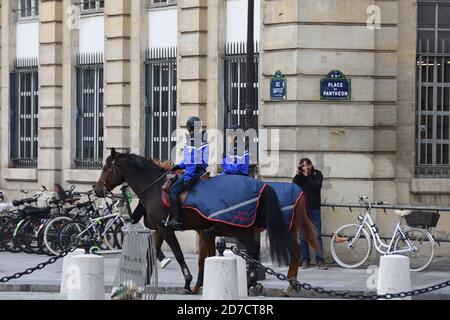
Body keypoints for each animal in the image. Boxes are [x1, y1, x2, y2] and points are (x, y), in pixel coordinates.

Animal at [93, 149, 314, 294]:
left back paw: (260, 282)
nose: (96, 190)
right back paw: (283, 285)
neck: (155, 188)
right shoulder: (164, 229)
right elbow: (153, 254)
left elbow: (180, 254)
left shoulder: (168, 229)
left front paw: (188, 282)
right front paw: (143, 281)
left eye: (106, 168)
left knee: (256, 249)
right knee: (287, 249)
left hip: (242, 229)